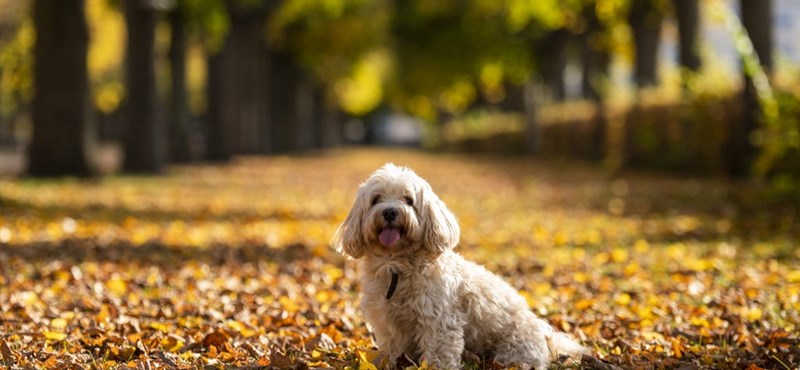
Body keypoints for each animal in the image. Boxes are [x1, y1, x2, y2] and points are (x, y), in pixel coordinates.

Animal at [332, 165, 588, 370]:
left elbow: (440, 351)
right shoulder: (388, 321)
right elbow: (394, 348)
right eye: (376, 199)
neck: (397, 264)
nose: (390, 211)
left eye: (408, 200)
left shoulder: (439, 319)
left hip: (513, 349)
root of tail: (546, 336)